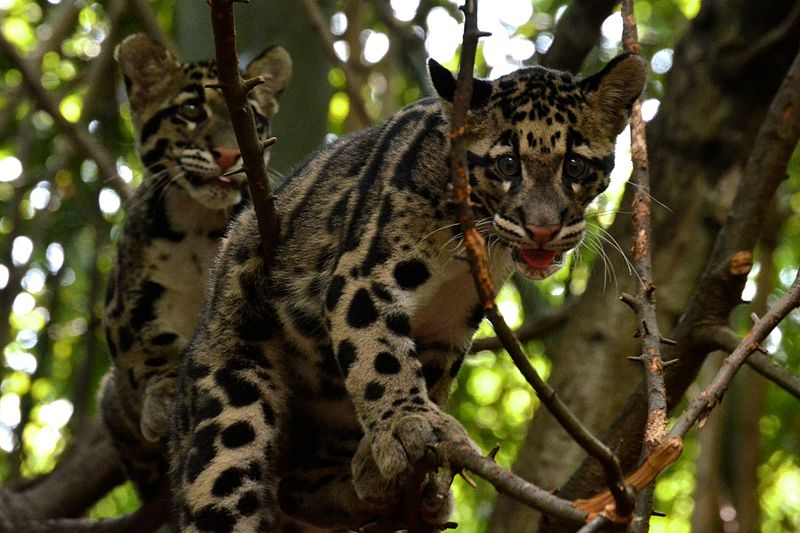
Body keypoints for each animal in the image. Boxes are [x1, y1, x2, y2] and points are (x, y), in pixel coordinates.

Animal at [98, 33, 290, 498]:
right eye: (190, 111)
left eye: (252, 118)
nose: (228, 154)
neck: (198, 223)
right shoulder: (126, 306)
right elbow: (151, 347)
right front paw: (167, 393)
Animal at [172, 53, 648, 528]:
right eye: (508, 164)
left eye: (575, 166)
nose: (543, 229)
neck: (468, 242)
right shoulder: (364, 274)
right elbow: (379, 356)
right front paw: (409, 425)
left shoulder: (448, 325)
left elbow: (423, 372)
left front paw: (382, 458)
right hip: (231, 389)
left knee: (295, 488)